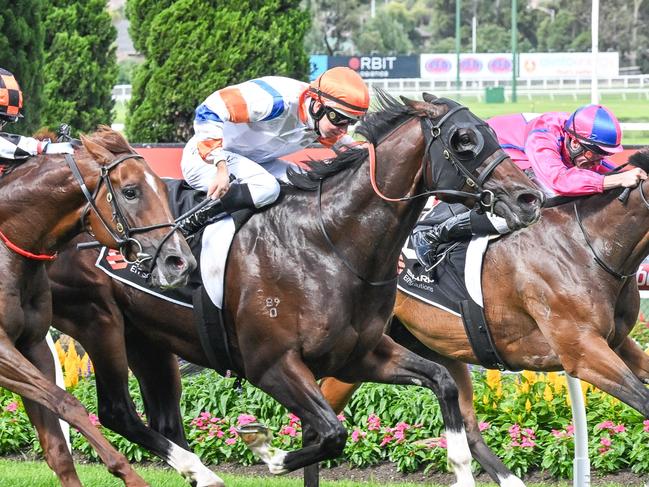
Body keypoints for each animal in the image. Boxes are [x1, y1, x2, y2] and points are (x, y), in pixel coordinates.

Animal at [0, 127, 194, 487]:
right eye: (130, 191)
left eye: (163, 188)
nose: (180, 261)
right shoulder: (2, 350)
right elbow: (67, 402)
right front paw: (130, 474)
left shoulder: (32, 346)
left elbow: (57, 448)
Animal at [48, 94, 540, 487]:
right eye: (463, 141)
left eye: (490, 132)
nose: (529, 198)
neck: (328, 243)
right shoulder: (270, 364)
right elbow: (331, 434)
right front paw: (265, 449)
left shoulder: (359, 355)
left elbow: (442, 382)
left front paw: (463, 467)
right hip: (98, 322)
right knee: (115, 411)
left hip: (148, 338)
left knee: (159, 419)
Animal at [318, 149, 649, 487]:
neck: (586, 246)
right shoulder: (581, 352)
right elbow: (644, 400)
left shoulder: (616, 343)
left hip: (442, 350)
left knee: (467, 426)